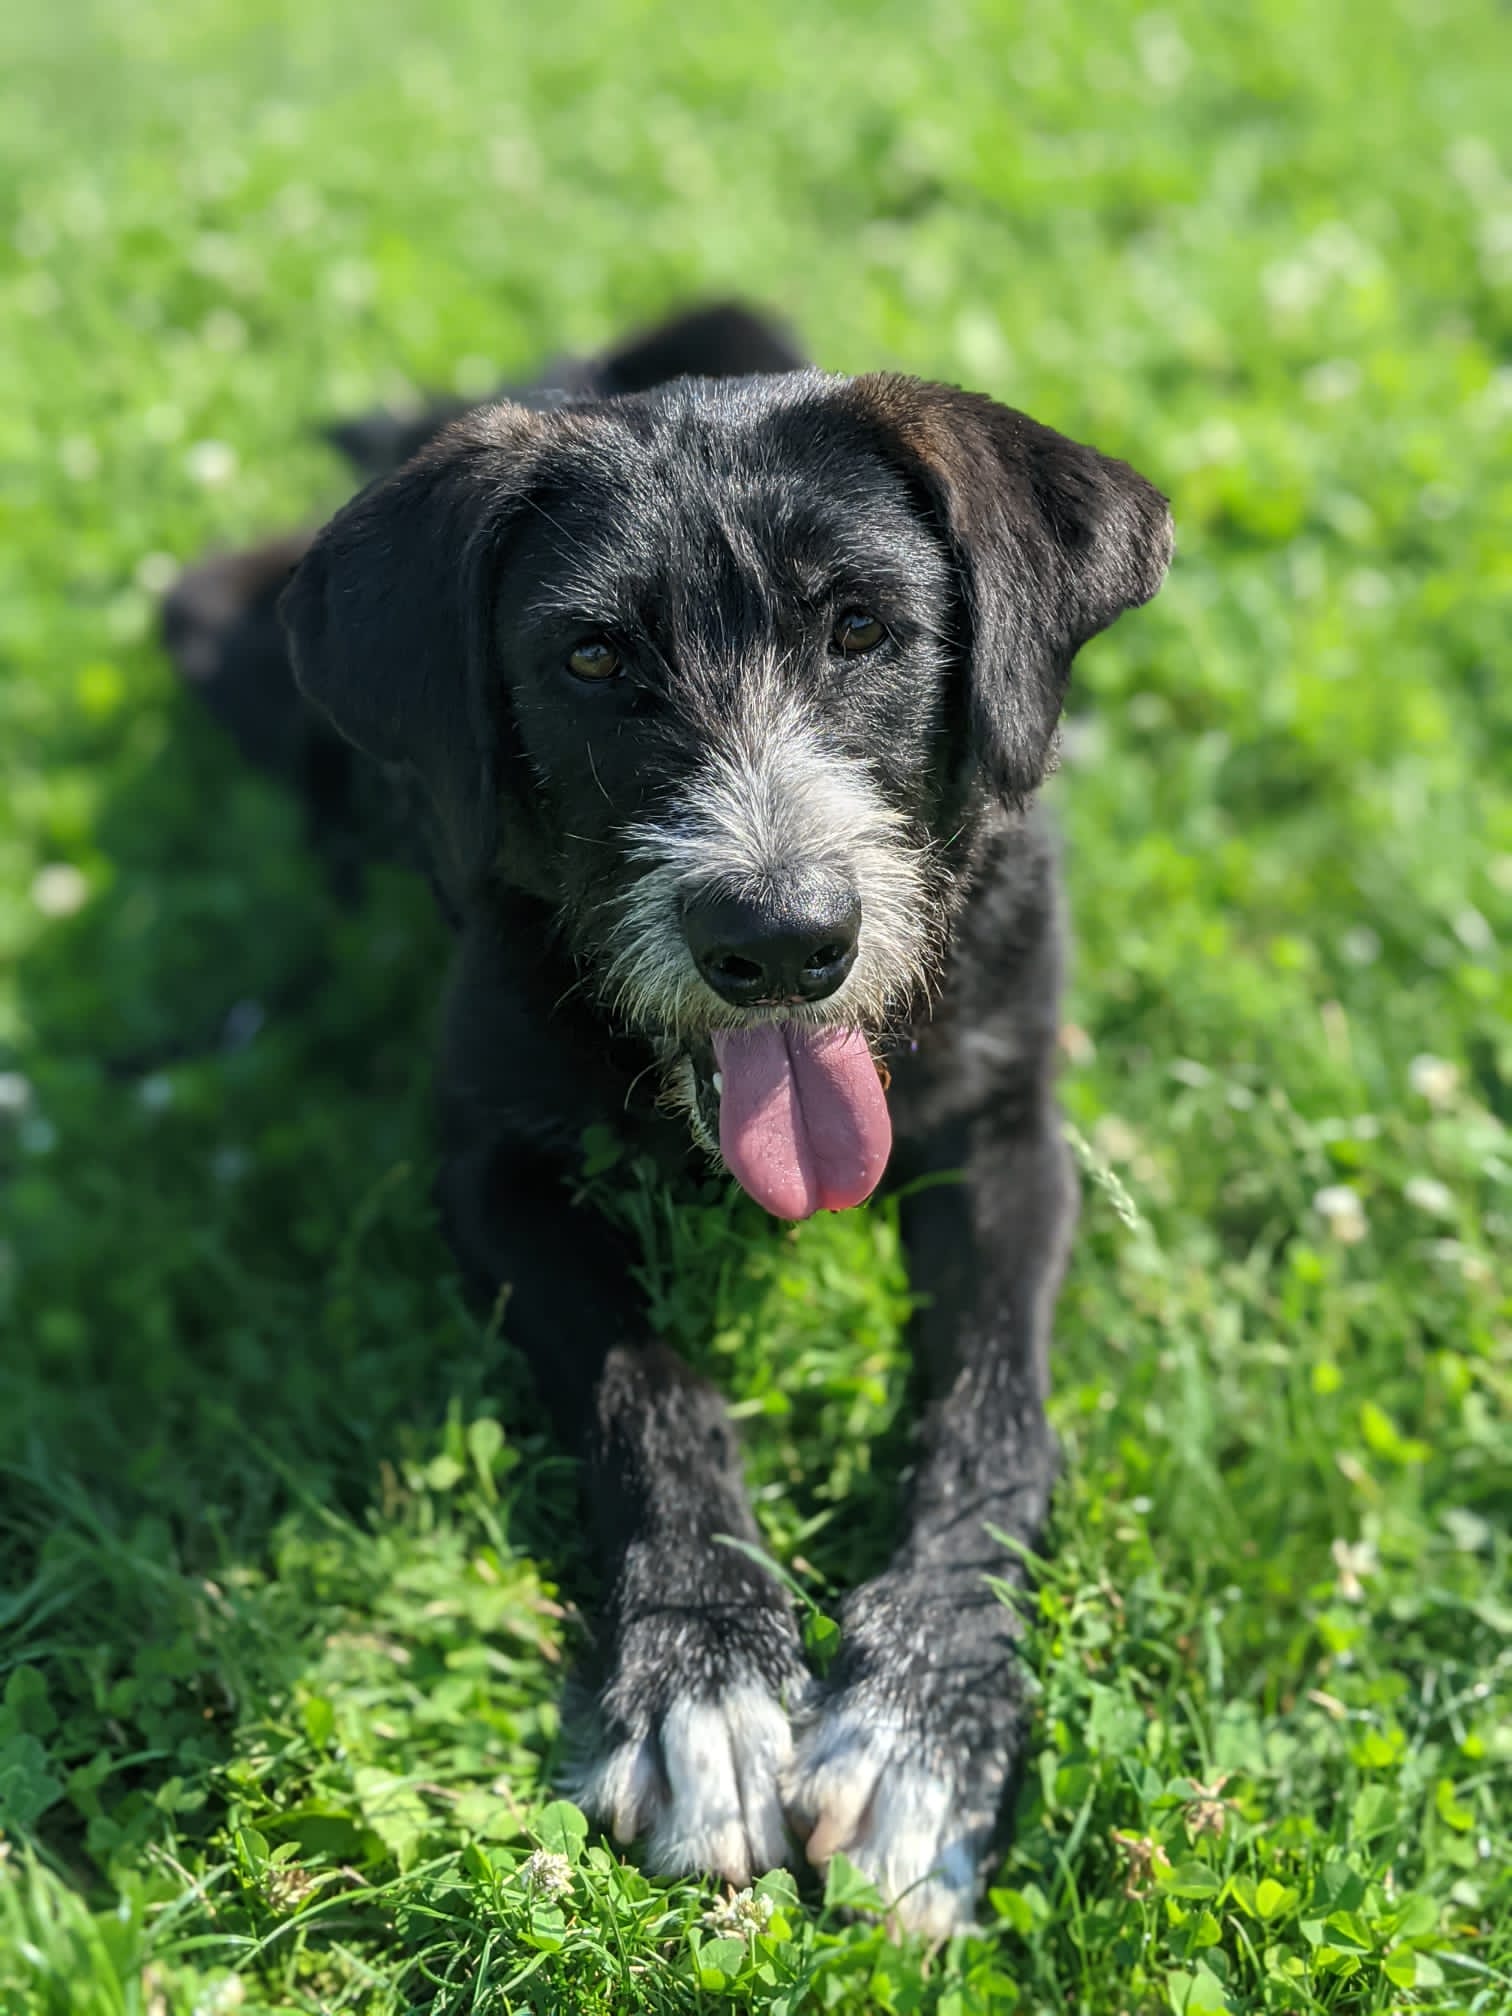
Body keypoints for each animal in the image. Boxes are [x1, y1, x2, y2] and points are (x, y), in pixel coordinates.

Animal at [164, 304, 1172, 1936]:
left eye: (863, 630)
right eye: (590, 654)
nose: (778, 940)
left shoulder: (1007, 1140)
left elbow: (994, 1407)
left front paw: (929, 1716)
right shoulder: (490, 1171)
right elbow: (646, 1387)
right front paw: (704, 1676)